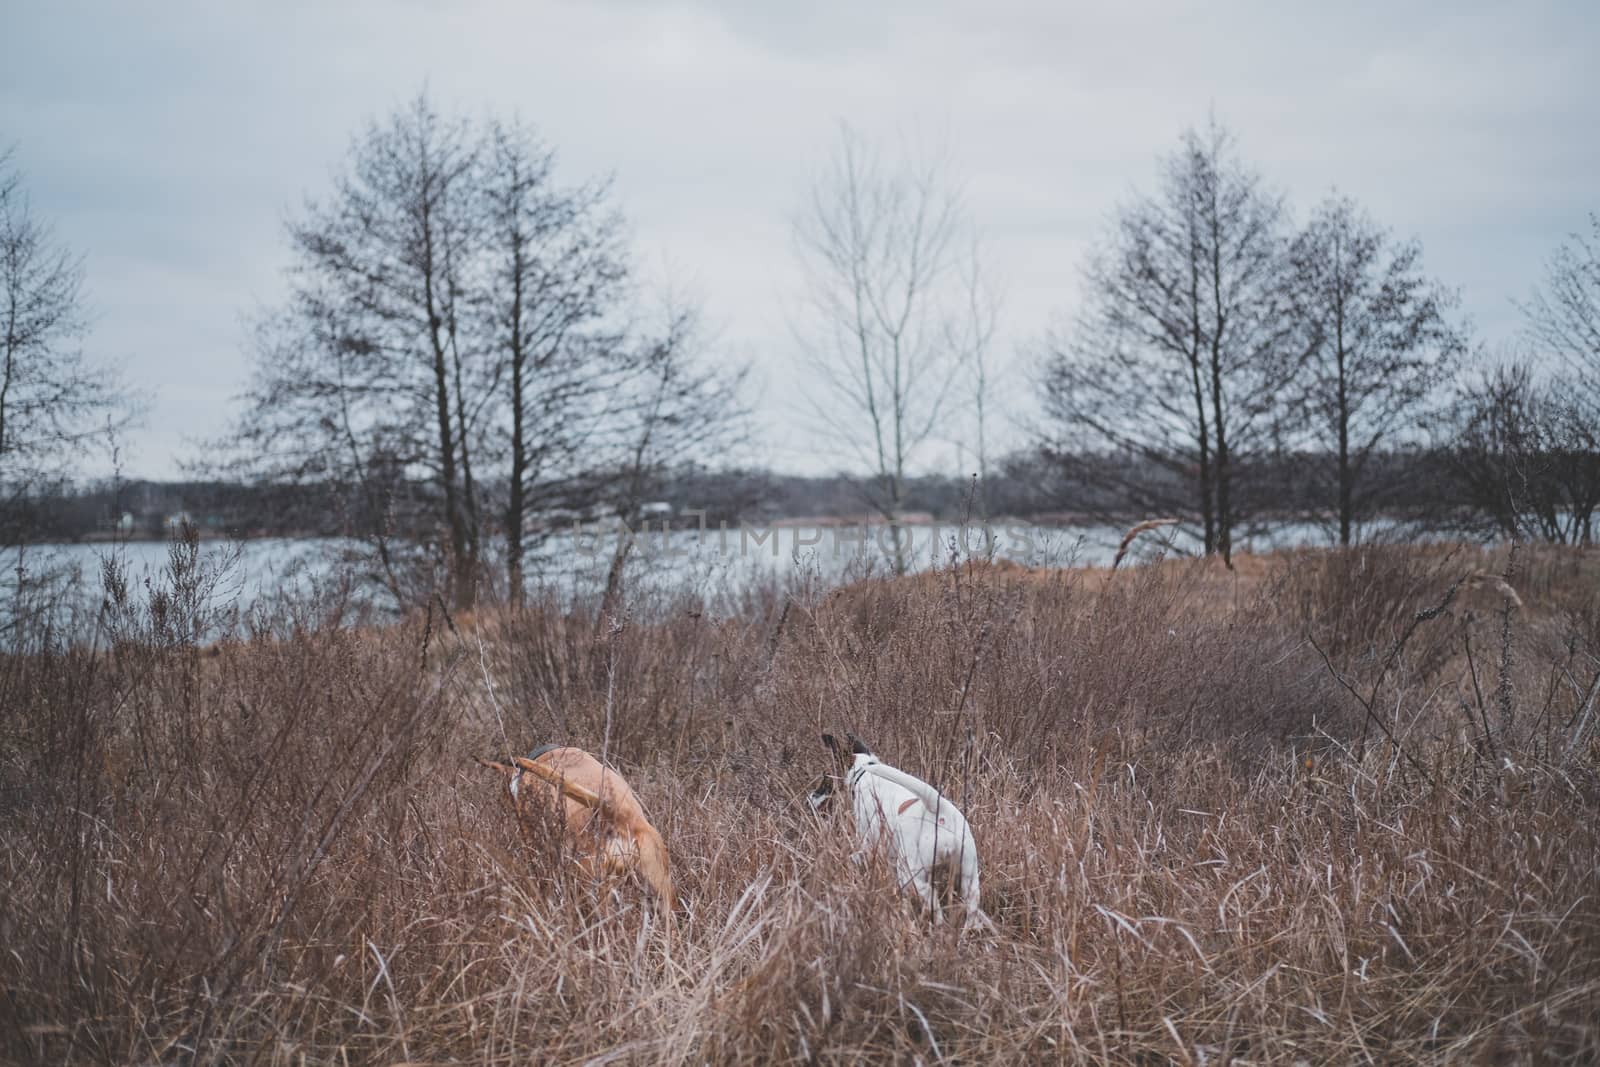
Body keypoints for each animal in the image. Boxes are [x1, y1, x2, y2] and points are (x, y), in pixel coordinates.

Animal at [812, 735, 985, 927]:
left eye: (826, 776)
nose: (810, 798)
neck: (864, 774)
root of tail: (939, 810)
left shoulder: (869, 844)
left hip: (910, 874)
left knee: (932, 903)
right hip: (969, 878)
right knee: (970, 911)